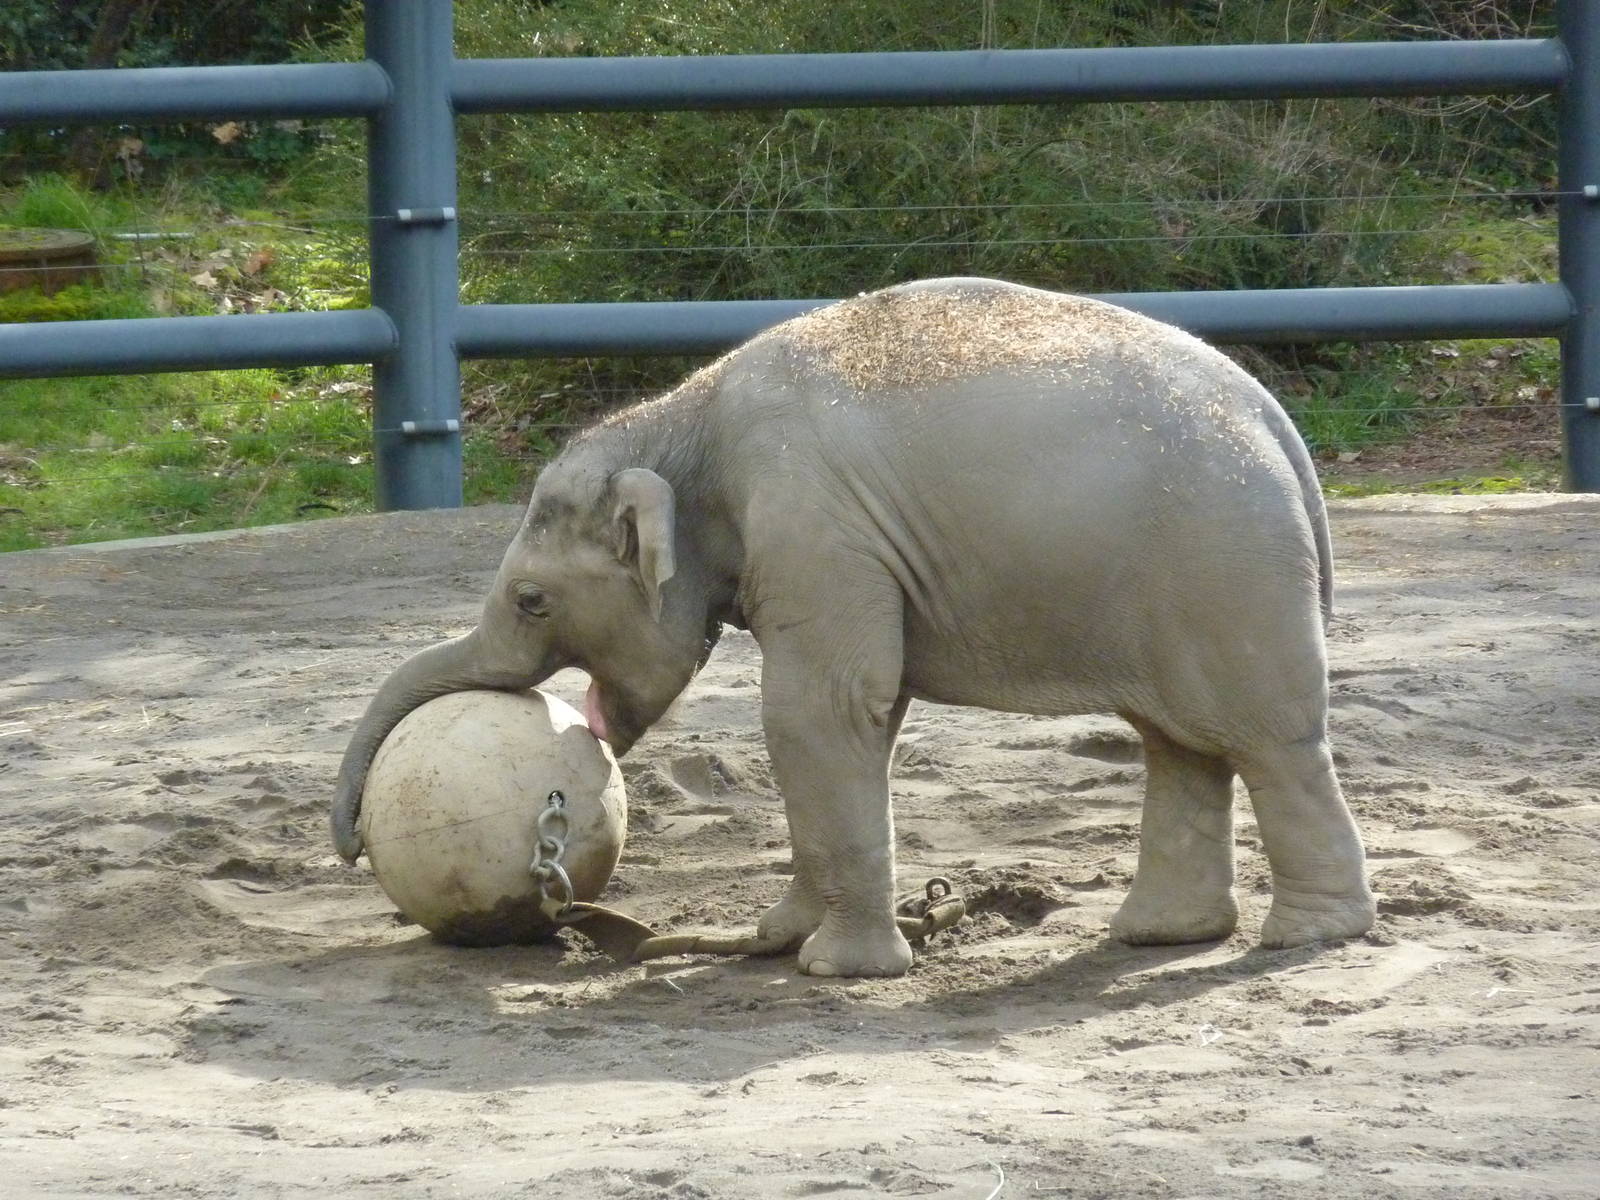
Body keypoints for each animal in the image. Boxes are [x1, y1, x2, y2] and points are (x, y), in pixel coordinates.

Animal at [332, 276, 1376, 978]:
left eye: (530, 600)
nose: (347, 851)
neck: (684, 418)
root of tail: (1276, 424)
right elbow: (863, 717)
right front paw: (782, 939)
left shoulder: (813, 527)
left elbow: (818, 711)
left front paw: (835, 969)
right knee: (1179, 744)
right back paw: (1164, 933)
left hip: (1224, 573)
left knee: (1267, 741)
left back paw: (1310, 935)